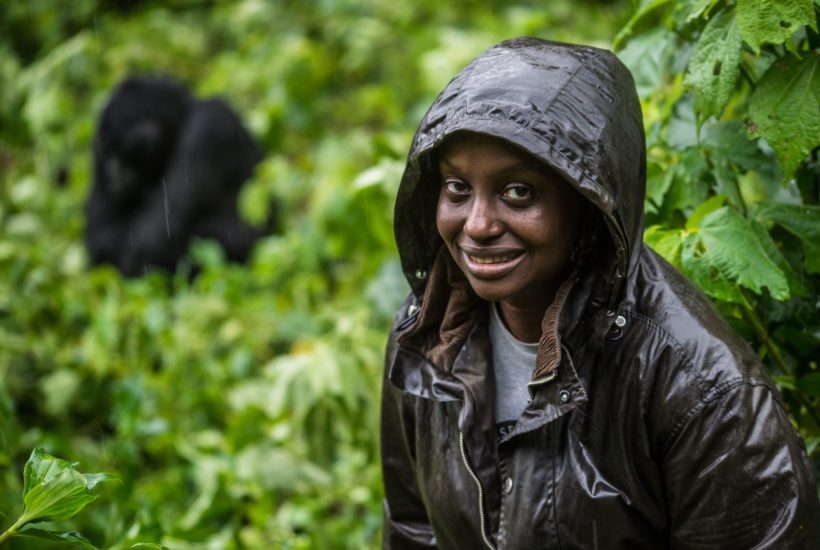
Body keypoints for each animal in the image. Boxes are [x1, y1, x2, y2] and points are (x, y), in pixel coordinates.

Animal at [85, 75, 270, 278]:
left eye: (117, 154)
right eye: (107, 153)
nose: (112, 170)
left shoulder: (209, 127)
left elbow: (150, 245)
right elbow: (104, 239)